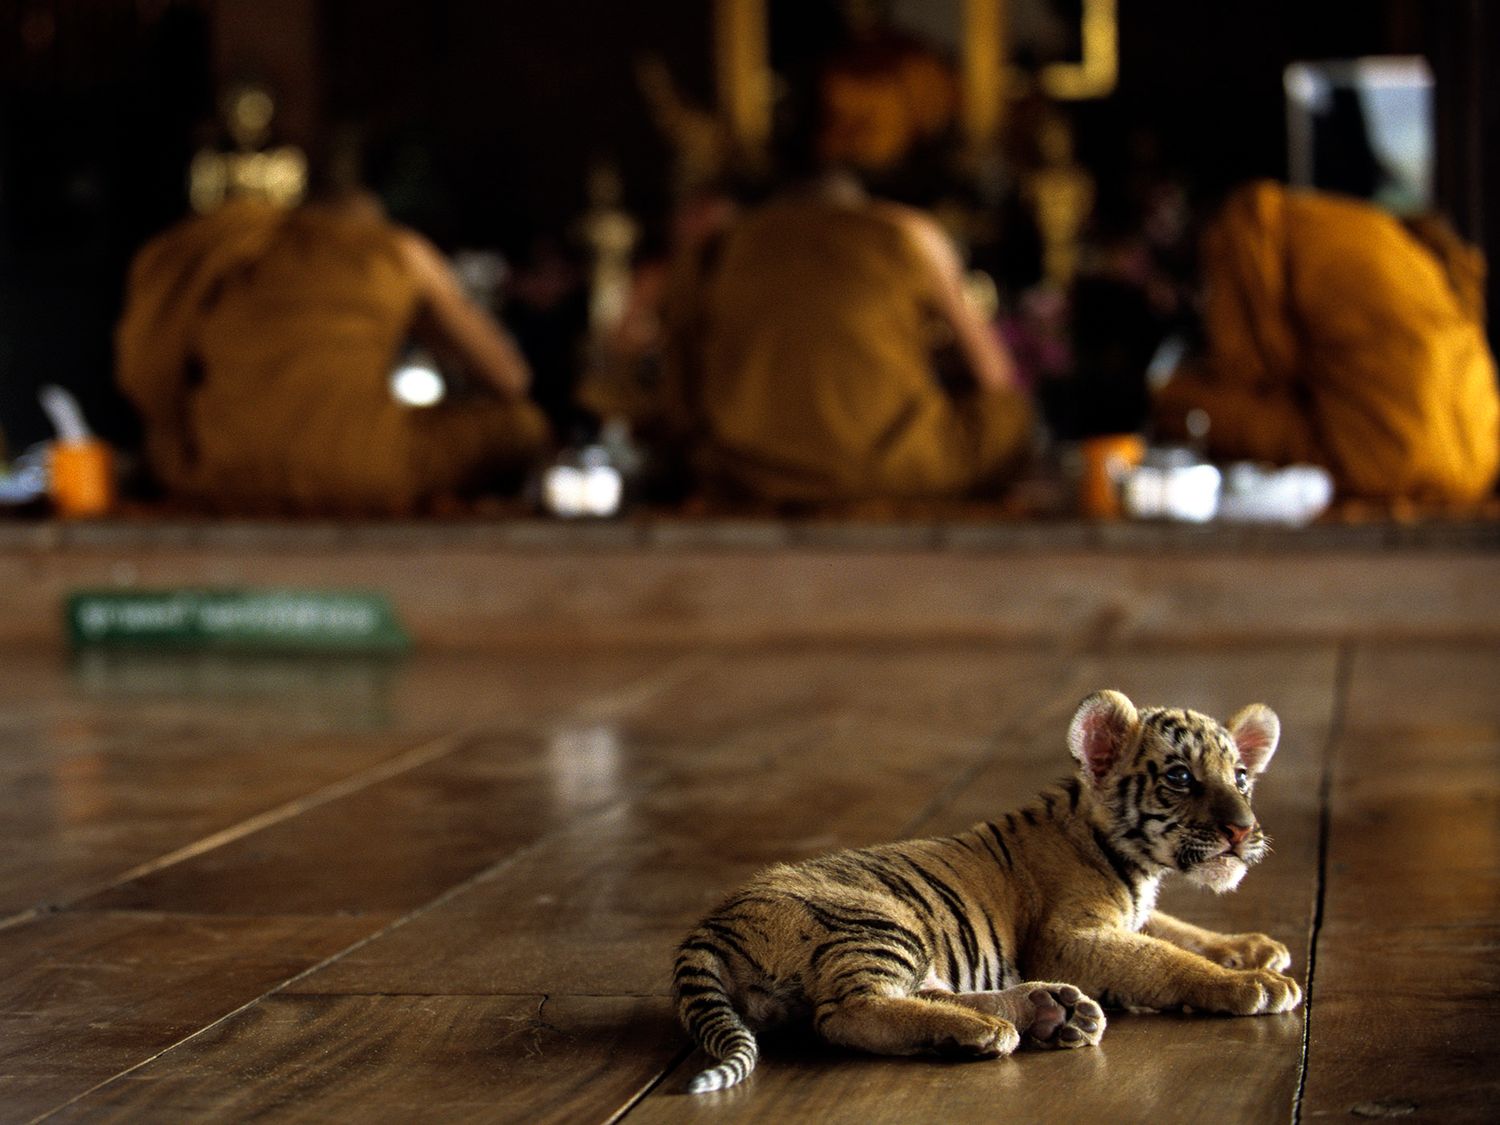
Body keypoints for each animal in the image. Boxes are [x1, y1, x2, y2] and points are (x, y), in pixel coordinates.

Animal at [672, 689, 1302, 1093]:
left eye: (1240, 777)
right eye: (1179, 777)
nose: (1242, 829)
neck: (1135, 861)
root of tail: (708, 928)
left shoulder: (1133, 915)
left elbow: (1177, 930)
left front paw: (1253, 947)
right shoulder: (1068, 937)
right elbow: (1164, 958)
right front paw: (1254, 983)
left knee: (921, 993)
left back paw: (1049, 1012)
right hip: (879, 922)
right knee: (846, 1012)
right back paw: (988, 1030)